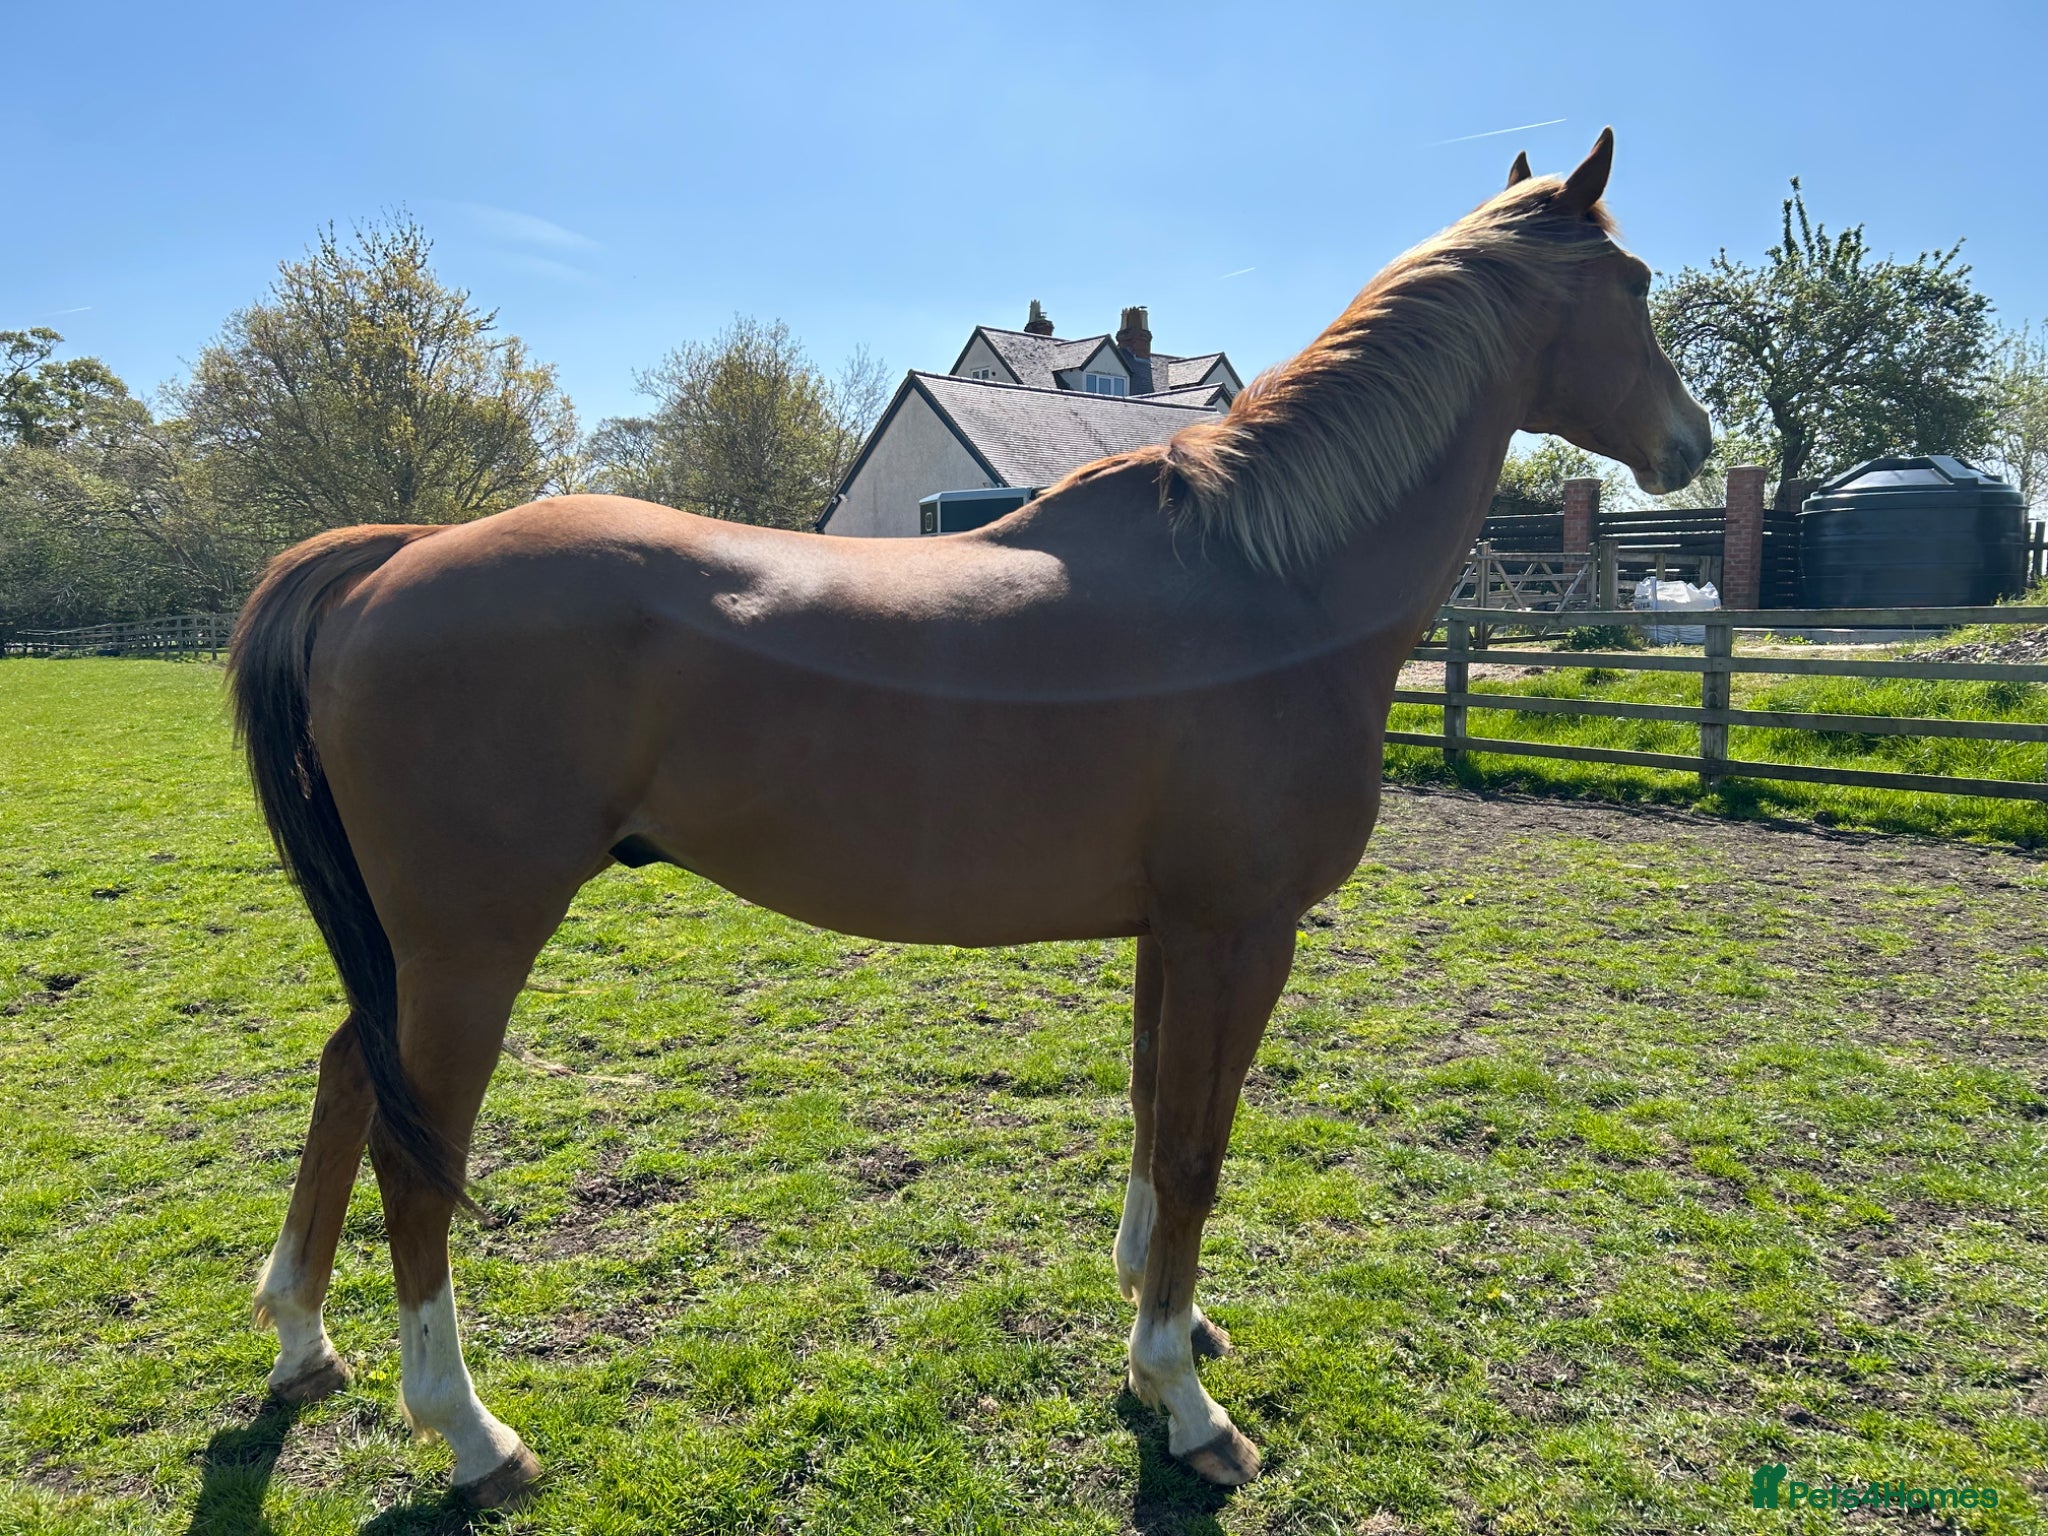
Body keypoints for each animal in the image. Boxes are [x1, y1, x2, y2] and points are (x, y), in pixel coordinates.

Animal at [227, 128, 1708, 1507]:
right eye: (1634, 284)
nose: (1690, 445)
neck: (1264, 579)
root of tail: (394, 559)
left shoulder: (1171, 932)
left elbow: (1152, 1115)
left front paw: (1163, 1324)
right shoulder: (1241, 931)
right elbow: (1198, 1147)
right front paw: (1183, 1404)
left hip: (413, 950)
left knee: (347, 1077)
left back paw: (303, 1340)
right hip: (472, 946)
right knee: (415, 1155)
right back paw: (471, 1433)